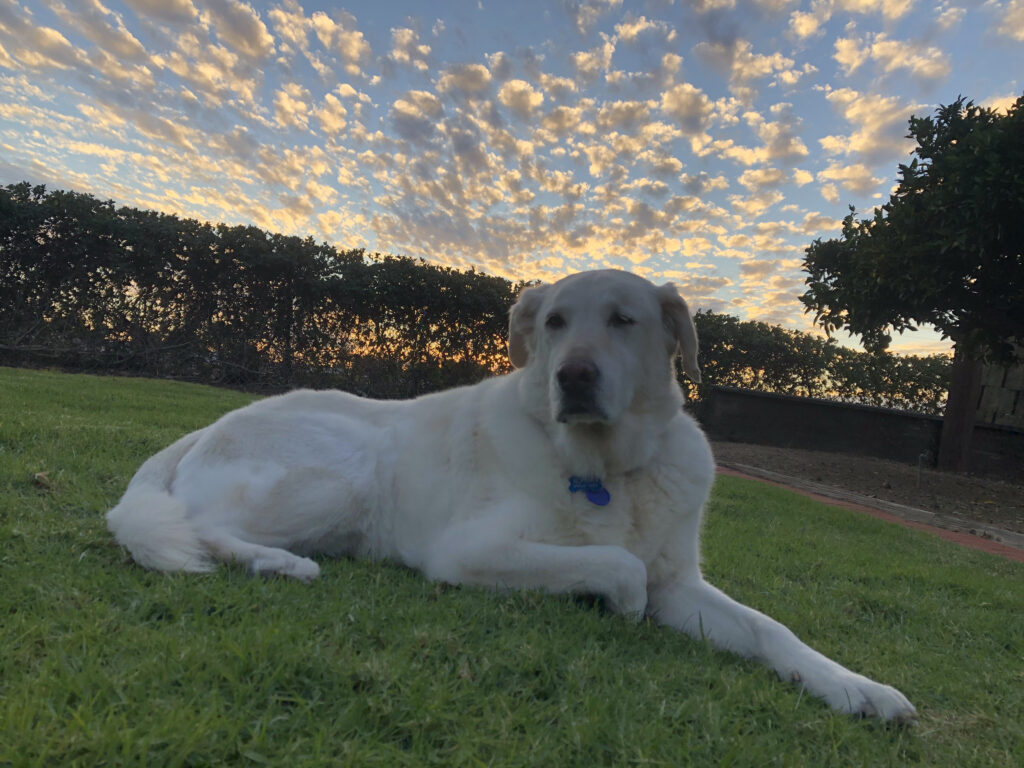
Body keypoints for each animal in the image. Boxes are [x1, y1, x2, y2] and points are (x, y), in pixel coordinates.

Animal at [108, 268, 917, 720]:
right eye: (554, 322)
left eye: (623, 320)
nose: (574, 376)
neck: (607, 470)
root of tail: (208, 425)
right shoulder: (468, 553)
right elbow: (618, 567)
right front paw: (618, 604)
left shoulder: (682, 584)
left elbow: (771, 630)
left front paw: (857, 689)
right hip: (344, 474)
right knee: (195, 524)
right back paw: (277, 563)